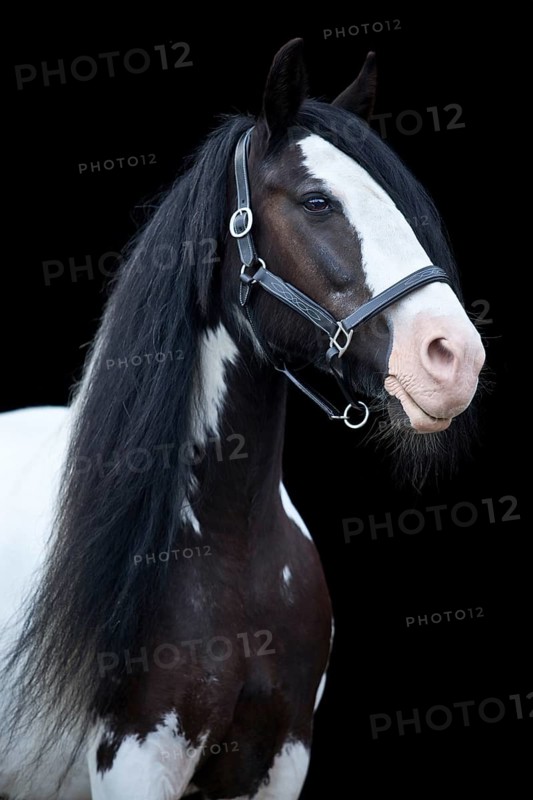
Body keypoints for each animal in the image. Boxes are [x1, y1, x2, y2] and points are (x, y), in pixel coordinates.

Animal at [0, 39, 485, 800]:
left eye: (398, 205)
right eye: (317, 202)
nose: (455, 356)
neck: (228, 547)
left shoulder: (280, 757)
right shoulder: (134, 762)